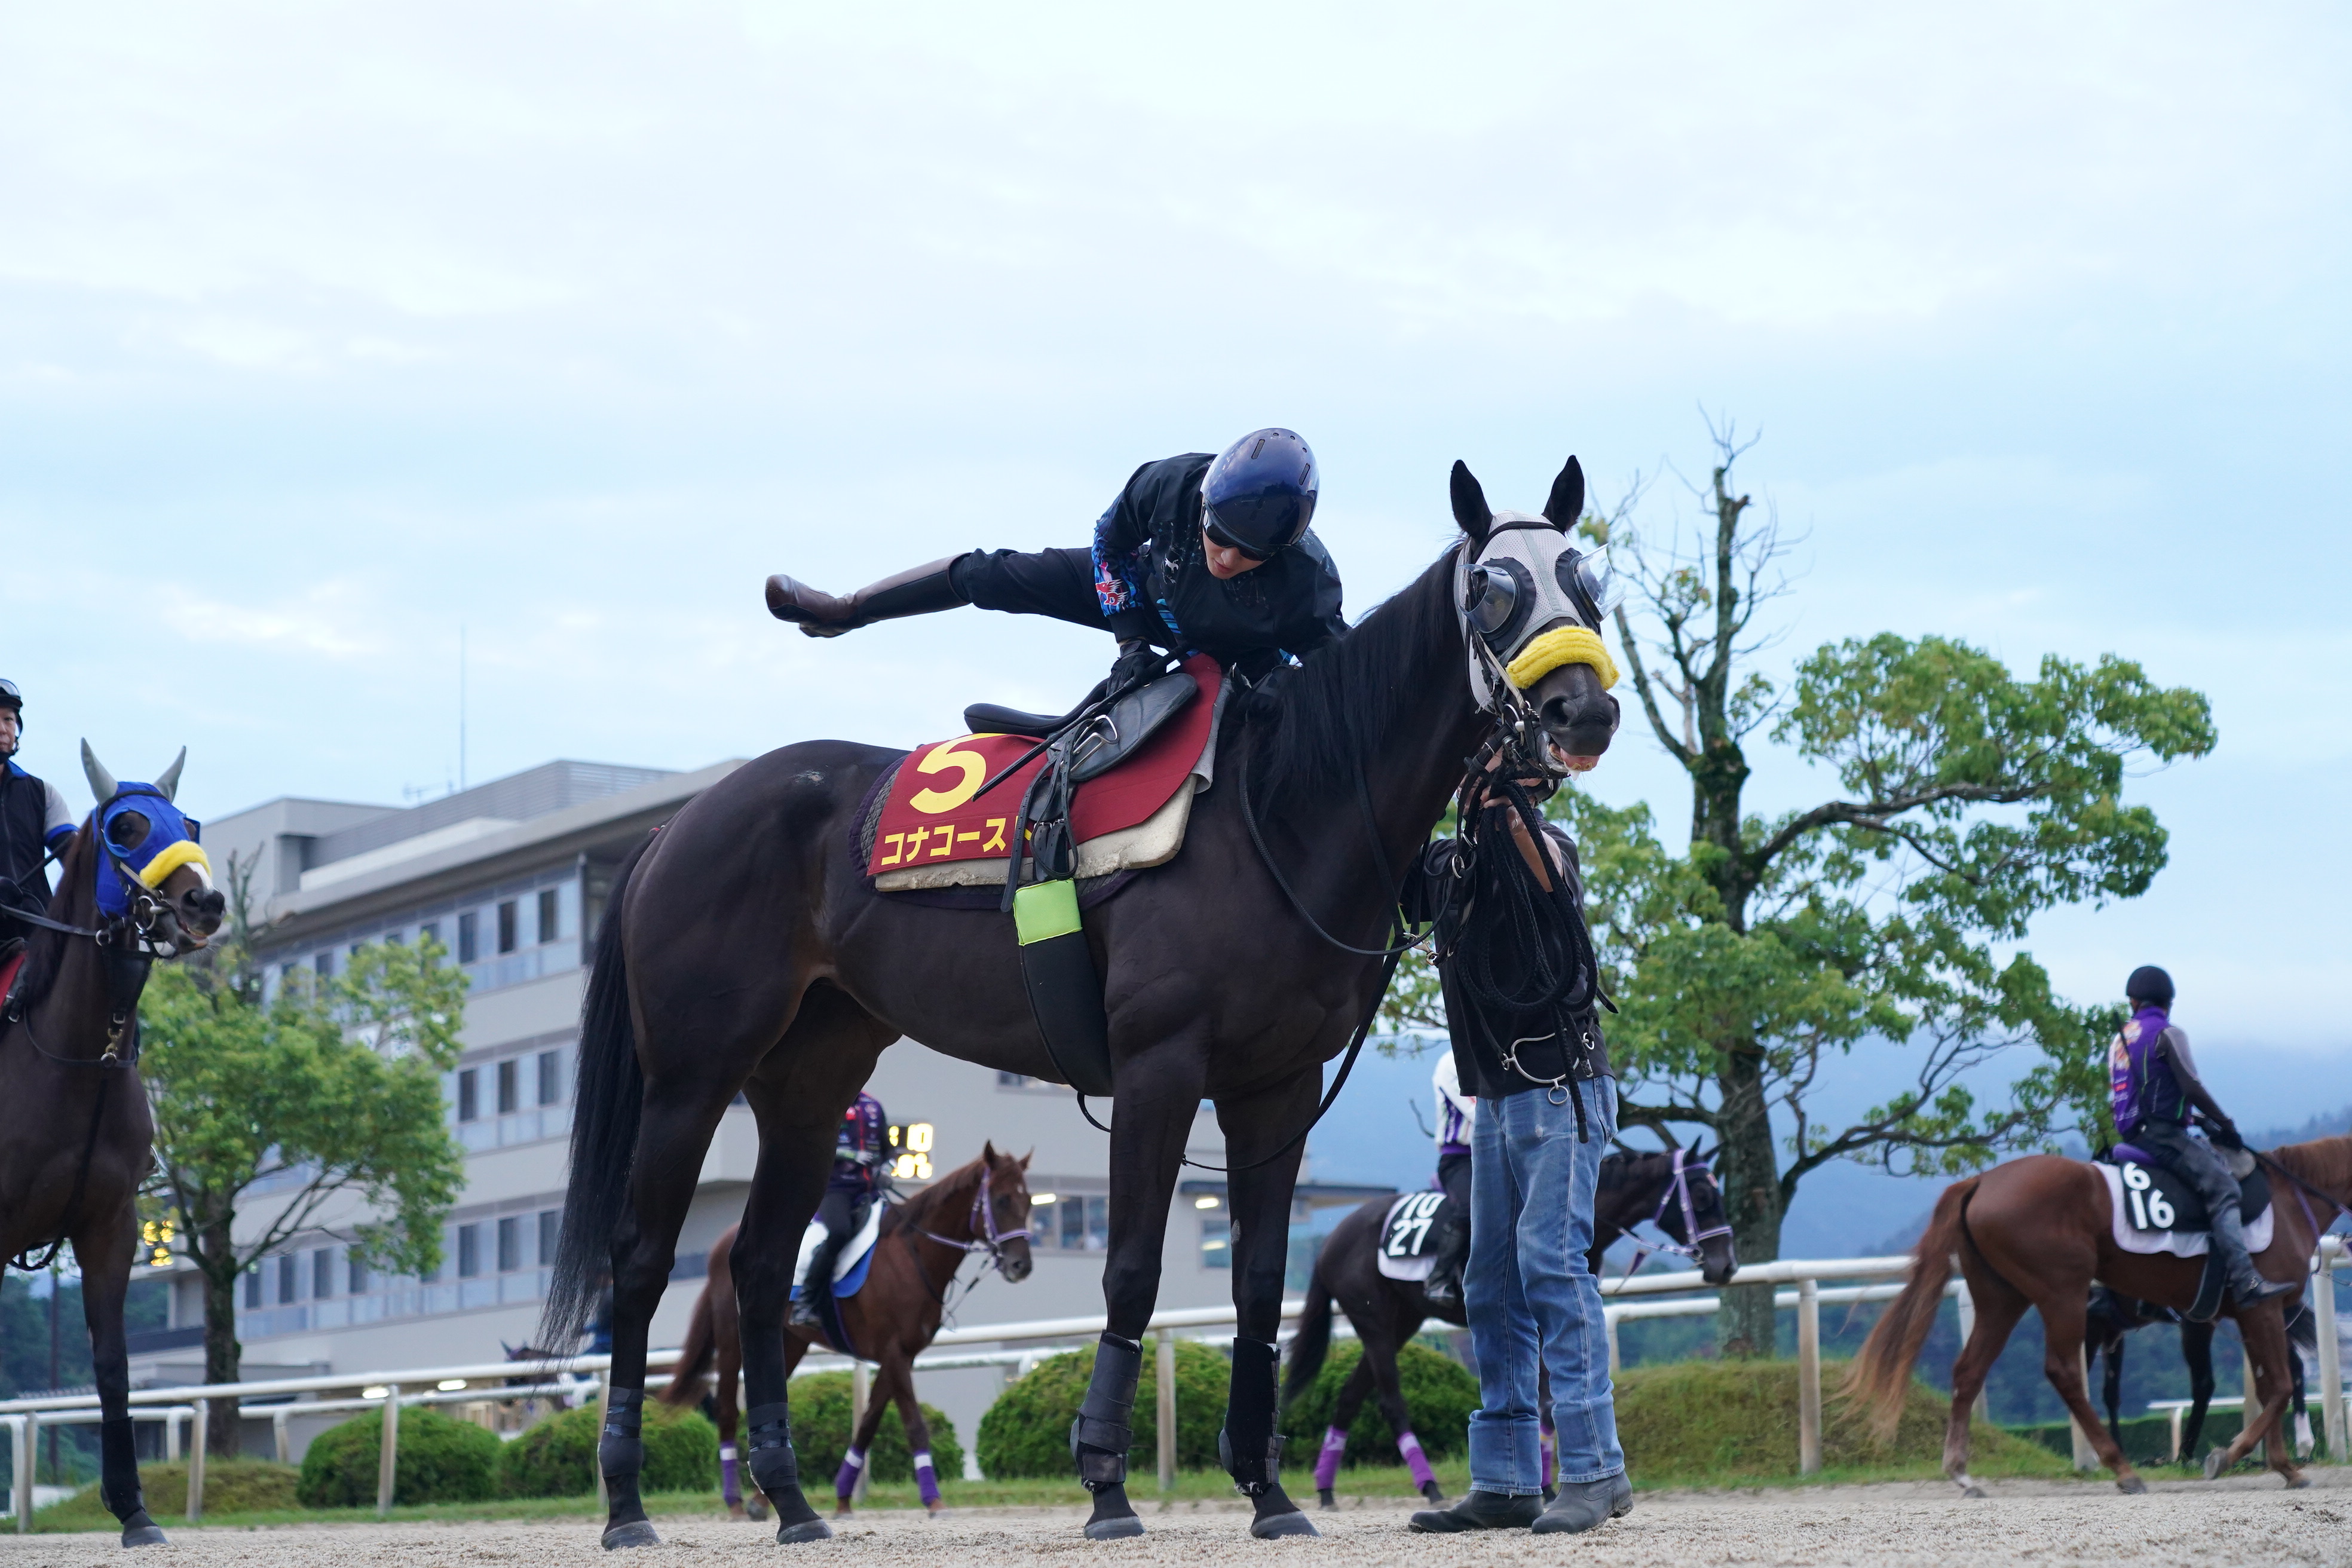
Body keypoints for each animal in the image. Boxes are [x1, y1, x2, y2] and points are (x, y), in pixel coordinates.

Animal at [0, 748, 222, 1542]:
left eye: (188, 822)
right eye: (126, 826)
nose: (204, 903)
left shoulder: (110, 1224)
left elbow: (114, 1365)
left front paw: (134, 1507)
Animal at [659, 1142, 1034, 1523]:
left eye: (1030, 1200)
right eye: (1002, 1200)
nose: (1022, 1266)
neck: (910, 1255)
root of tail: (721, 1245)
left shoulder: (901, 1355)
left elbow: (867, 1424)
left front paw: (843, 1499)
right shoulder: (895, 1353)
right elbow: (914, 1425)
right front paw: (934, 1501)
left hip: (789, 1343)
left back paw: (761, 1500)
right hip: (731, 1343)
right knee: (727, 1411)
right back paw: (734, 1502)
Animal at [1288, 1147, 1731, 1504]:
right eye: (1702, 1196)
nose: (1725, 1266)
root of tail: (1330, 1240)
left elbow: (1551, 1401)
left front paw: (1550, 1485)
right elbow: (1545, 1401)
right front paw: (1547, 1485)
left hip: (1401, 1323)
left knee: (1349, 1396)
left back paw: (1326, 1490)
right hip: (1375, 1323)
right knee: (1391, 1402)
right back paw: (1430, 1487)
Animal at [1843, 1133, 2342, 1495]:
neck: (2288, 1198)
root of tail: (1981, 1181)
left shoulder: (2247, 1313)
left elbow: (2271, 1383)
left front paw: (2281, 1465)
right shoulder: (2259, 1308)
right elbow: (2276, 1384)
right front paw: (2232, 1456)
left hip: (2002, 1299)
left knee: (1970, 1371)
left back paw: (1963, 1473)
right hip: (2063, 1294)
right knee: (2064, 1372)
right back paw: (2124, 1467)